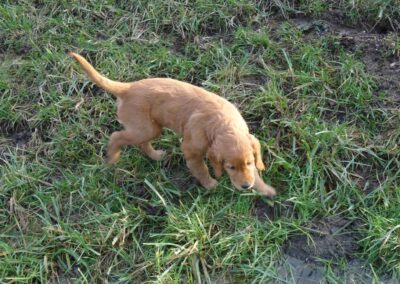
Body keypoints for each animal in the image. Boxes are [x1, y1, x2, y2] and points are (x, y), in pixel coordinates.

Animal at [69, 52, 276, 196]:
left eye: (249, 162)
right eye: (230, 167)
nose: (245, 186)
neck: (223, 124)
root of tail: (127, 87)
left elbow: (256, 172)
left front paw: (266, 189)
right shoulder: (191, 149)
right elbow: (200, 169)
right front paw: (210, 184)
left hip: (150, 128)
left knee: (141, 143)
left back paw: (156, 156)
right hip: (145, 128)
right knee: (117, 136)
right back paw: (112, 157)